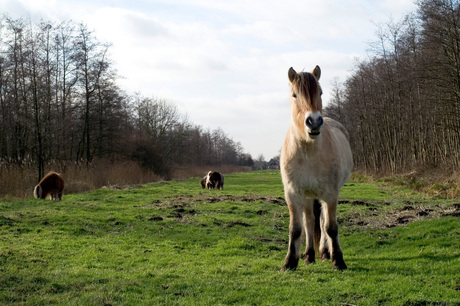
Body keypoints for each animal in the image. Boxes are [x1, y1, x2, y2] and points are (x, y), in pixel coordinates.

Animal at [280, 66, 352, 270]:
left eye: (320, 92)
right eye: (294, 94)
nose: (314, 122)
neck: (307, 151)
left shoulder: (330, 194)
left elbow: (330, 227)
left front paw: (338, 261)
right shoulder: (293, 193)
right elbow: (296, 228)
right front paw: (290, 262)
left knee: (321, 222)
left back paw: (325, 253)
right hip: (308, 196)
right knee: (310, 222)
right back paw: (309, 255)